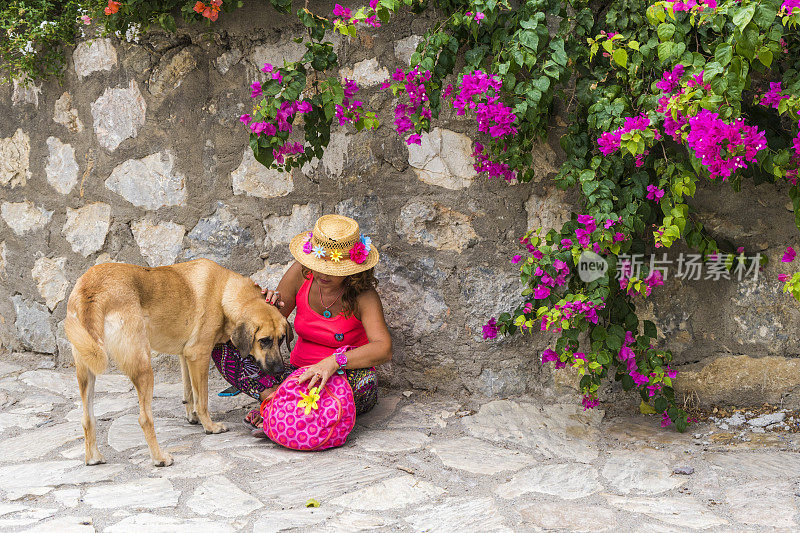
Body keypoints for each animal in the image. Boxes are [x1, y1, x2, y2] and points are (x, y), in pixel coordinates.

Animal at [65, 258, 290, 466]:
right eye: (264, 341)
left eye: (281, 339)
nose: (280, 370)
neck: (225, 293)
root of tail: (90, 288)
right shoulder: (198, 354)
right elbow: (202, 399)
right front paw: (210, 426)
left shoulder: (185, 355)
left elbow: (189, 391)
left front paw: (193, 416)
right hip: (143, 367)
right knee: (145, 418)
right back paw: (160, 458)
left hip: (85, 370)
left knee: (87, 418)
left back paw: (93, 458)